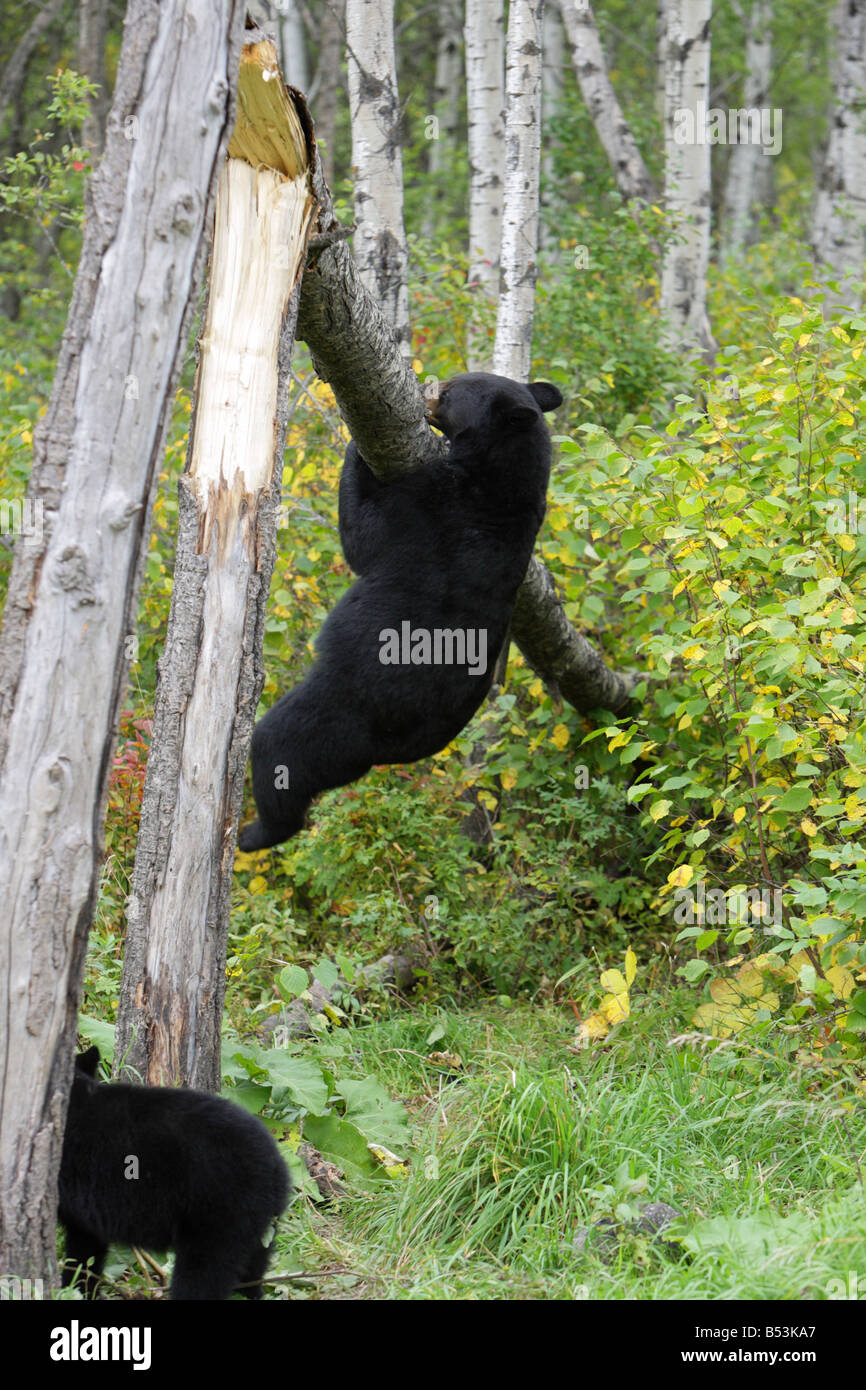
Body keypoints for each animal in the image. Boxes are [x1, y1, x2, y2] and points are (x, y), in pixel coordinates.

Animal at [61, 1045, 293, 1295]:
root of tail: (278, 1169)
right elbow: (87, 1249)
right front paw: (79, 1288)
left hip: (220, 1214)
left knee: (204, 1275)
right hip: (260, 1227)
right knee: (253, 1269)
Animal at [237, 369, 561, 850]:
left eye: (454, 388)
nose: (429, 387)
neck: (505, 482)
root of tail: (384, 752)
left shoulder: (434, 505)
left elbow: (364, 535)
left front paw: (355, 446)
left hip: (328, 716)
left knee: (276, 754)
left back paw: (255, 833)